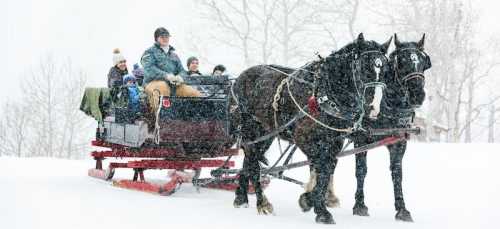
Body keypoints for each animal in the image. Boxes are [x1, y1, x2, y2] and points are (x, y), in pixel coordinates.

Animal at [232, 34, 392, 224]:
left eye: (385, 71)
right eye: (364, 68)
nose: (373, 108)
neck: (323, 94)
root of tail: (240, 78)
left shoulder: (334, 143)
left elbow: (327, 169)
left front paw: (315, 202)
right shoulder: (305, 139)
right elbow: (321, 166)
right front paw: (315, 203)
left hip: (265, 135)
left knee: (249, 161)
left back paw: (241, 197)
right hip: (250, 130)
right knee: (253, 164)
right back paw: (262, 203)